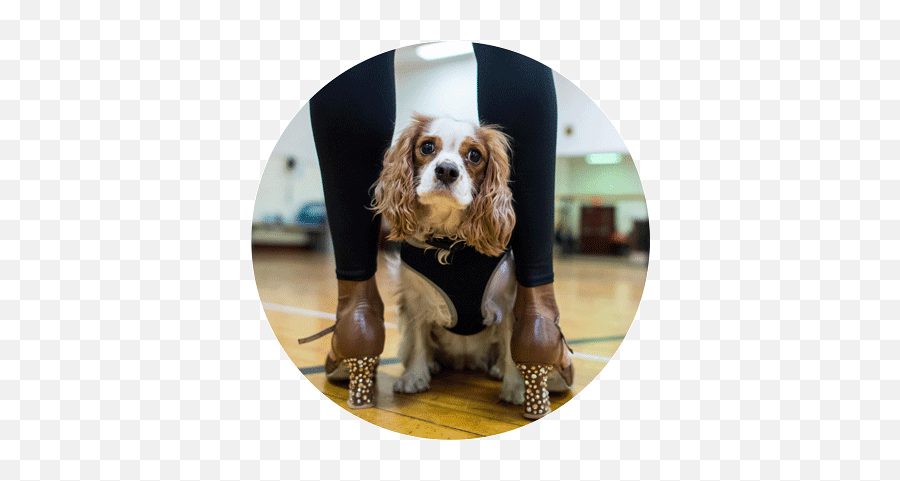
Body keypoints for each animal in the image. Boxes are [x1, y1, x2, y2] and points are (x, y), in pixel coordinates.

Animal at [370, 112, 524, 402]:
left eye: (474, 155)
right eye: (427, 147)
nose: (446, 170)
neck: (449, 244)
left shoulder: (506, 302)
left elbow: (511, 348)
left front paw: (515, 386)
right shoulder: (416, 300)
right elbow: (419, 339)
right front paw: (415, 376)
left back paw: (497, 368)